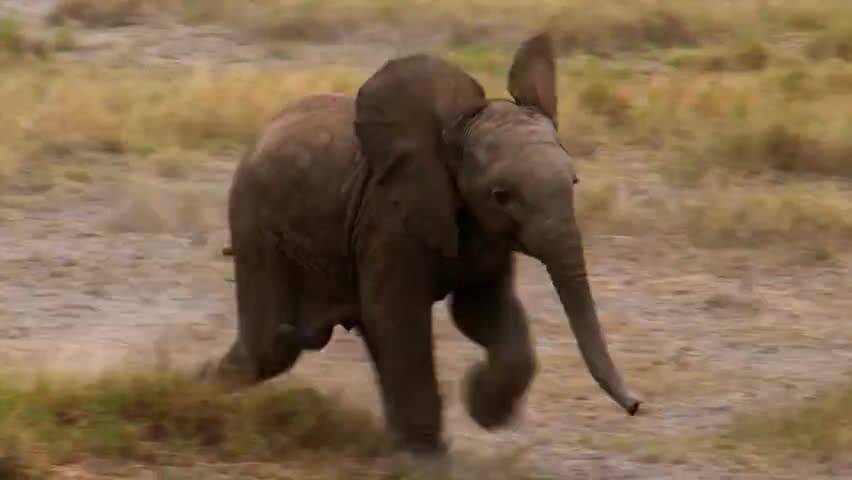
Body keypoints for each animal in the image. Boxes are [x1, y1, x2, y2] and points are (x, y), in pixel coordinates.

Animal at [203, 32, 641, 456]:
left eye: (574, 182)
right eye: (501, 195)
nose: (636, 405)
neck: (454, 136)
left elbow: (480, 312)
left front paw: (481, 406)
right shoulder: (389, 221)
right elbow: (399, 319)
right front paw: (427, 457)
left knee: (279, 346)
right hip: (256, 223)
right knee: (270, 345)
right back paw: (199, 394)